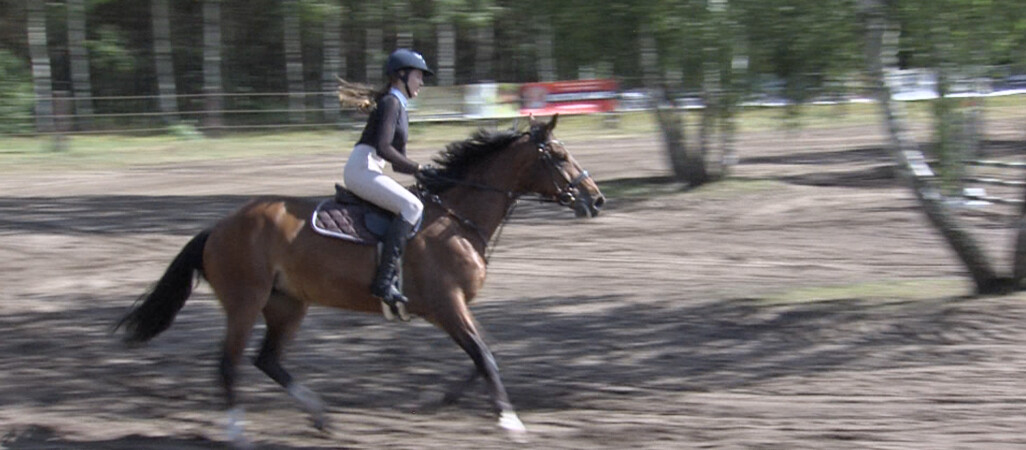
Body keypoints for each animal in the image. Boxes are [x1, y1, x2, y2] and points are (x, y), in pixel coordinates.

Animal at [116, 114, 603, 444]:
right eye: (560, 157)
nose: (596, 200)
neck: (457, 218)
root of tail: (217, 228)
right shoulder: (447, 305)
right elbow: (484, 354)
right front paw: (510, 421)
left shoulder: (454, 308)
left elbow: (484, 354)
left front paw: (445, 400)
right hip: (244, 302)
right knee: (229, 363)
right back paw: (238, 432)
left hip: (287, 304)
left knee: (267, 360)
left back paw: (320, 415)